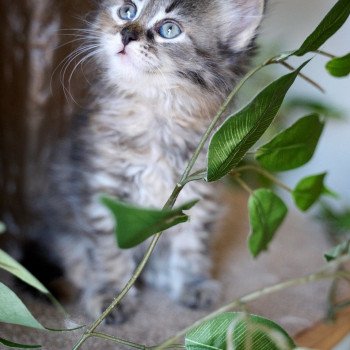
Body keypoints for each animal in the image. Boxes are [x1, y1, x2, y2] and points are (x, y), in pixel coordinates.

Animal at [36, 0, 266, 322]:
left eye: (169, 29)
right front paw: (111, 294)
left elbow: (191, 245)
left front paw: (192, 283)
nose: (126, 34)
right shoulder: (104, 191)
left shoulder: (196, 194)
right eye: (127, 11)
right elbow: (109, 250)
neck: (157, 111)